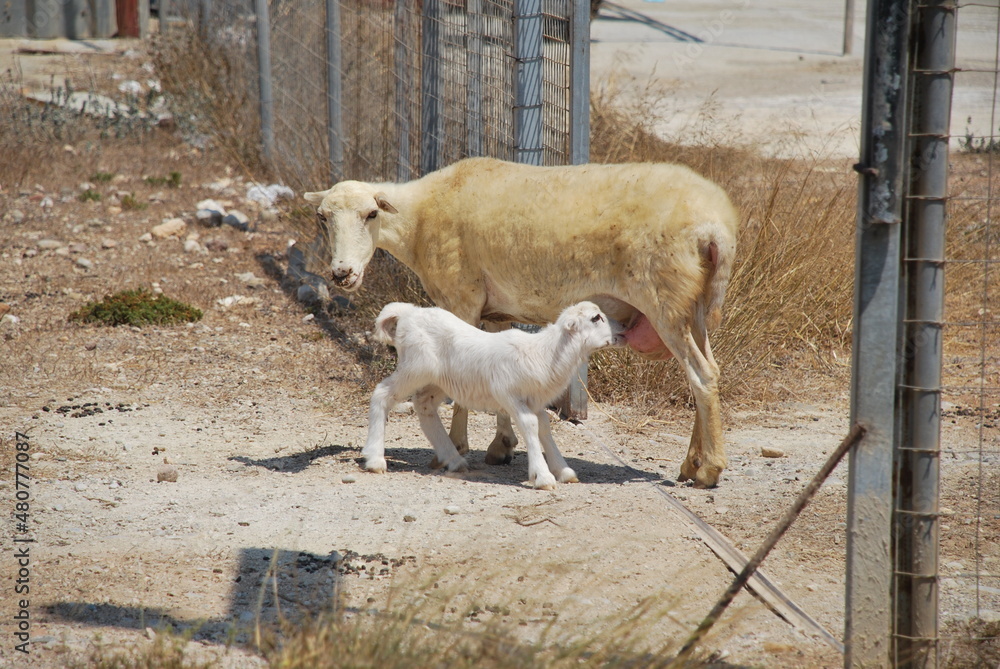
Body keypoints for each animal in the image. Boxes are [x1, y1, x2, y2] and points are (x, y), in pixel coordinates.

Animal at [362, 301, 624, 489]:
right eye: (596, 318)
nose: (621, 333)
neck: (545, 352)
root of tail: (408, 313)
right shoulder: (508, 394)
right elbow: (529, 425)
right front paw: (543, 476)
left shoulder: (534, 399)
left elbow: (543, 427)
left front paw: (563, 470)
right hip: (415, 368)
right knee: (382, 394)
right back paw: (375, 459)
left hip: (438, 380)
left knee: (424, 405)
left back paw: (453, 459)